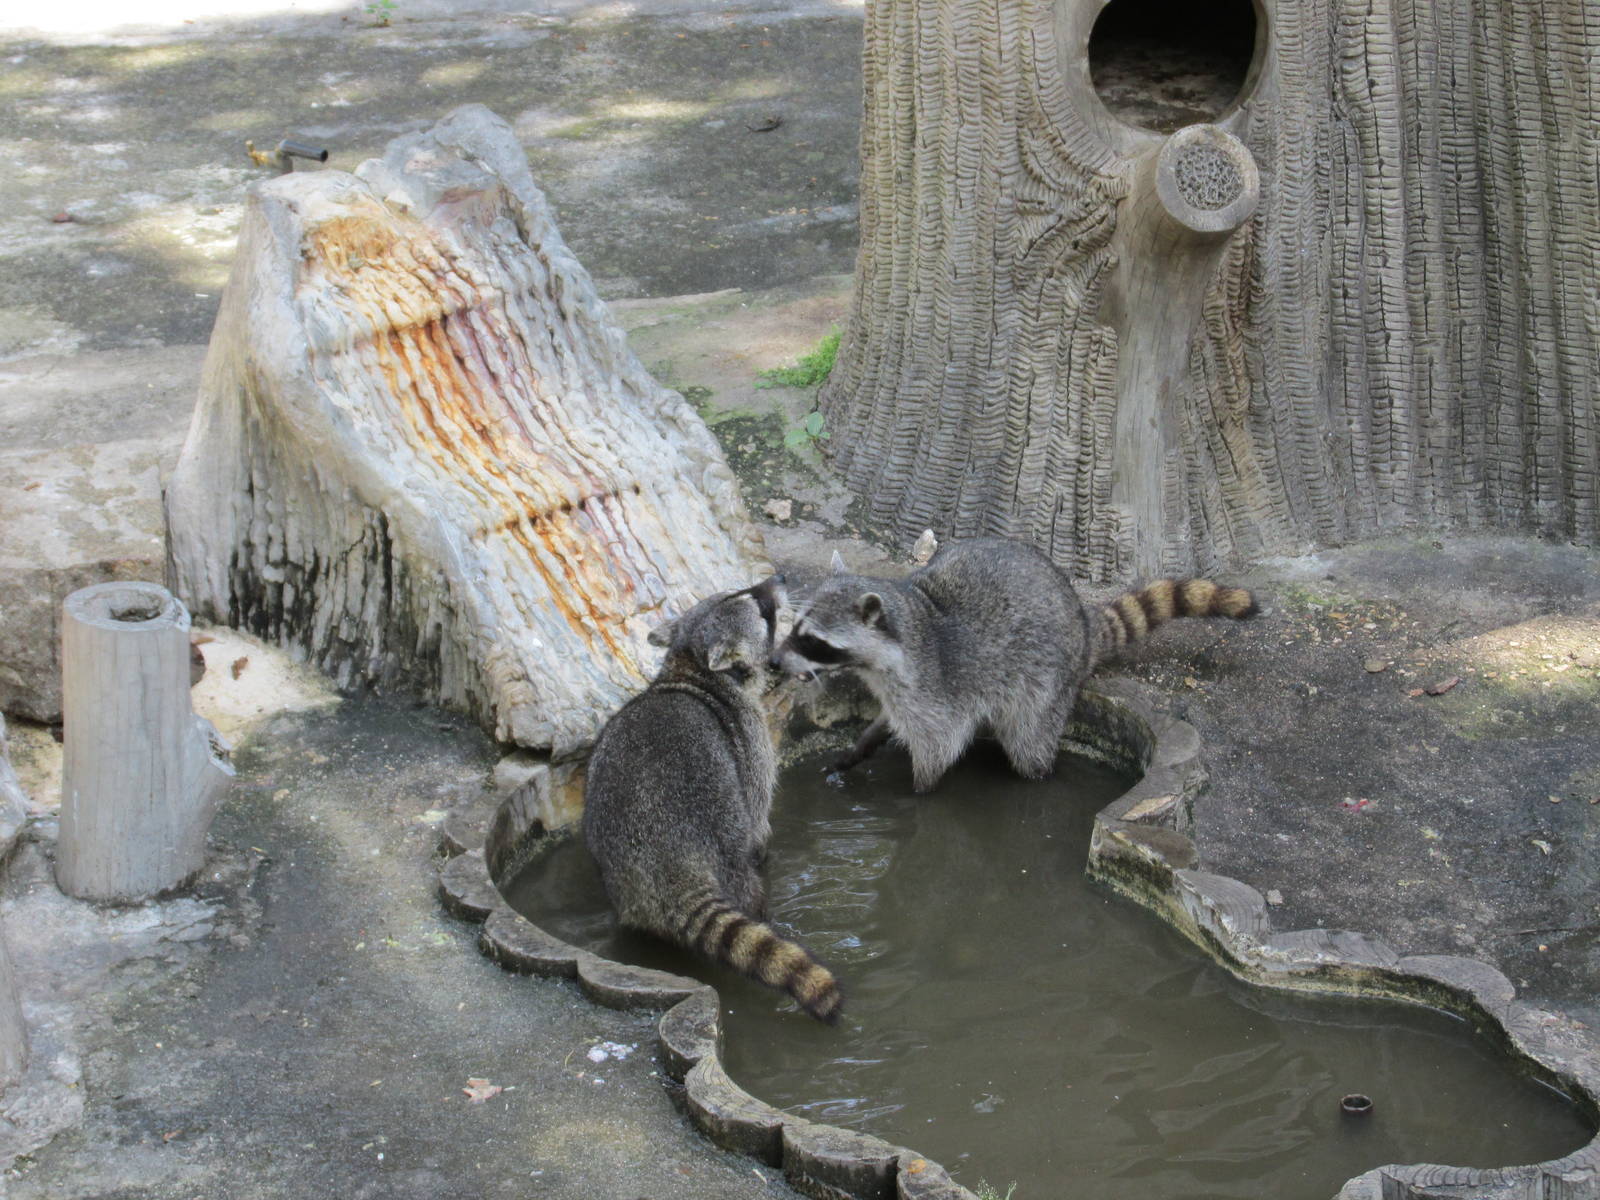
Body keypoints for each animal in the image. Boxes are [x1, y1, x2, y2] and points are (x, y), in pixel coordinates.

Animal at [582, 575, 843, 1024]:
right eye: (763, 610)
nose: (778, 579)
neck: (692, 667)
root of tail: (670, 864)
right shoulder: (751, 738)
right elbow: (758, 817)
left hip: (619, 875)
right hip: (721, 833)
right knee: (745, 874)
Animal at [773, 537, 1257, 793]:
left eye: (813, 640)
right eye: (794, 626)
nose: (775, 661)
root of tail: (1082, 622)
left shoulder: (934, 689)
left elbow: (937, 748)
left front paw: (914, 793)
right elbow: (889, 721)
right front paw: (859, 747)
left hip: (1047, 682)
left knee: (1030, 743)